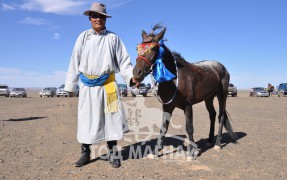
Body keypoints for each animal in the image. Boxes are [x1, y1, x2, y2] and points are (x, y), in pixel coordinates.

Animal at [134, 24, 237, 159]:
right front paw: (155, 152)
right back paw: (210, 140)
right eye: (137, 47)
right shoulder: (167, 107)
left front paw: (192, 152)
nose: (137, 73)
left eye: (154, 47)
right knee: (212, 114)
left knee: (221, 116)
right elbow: (163, 128)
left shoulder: (188, 106)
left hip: (222, 96)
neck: (174, 79)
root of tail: (222, 67)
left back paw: (218, 144)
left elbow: (189, 128)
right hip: (208, 98)